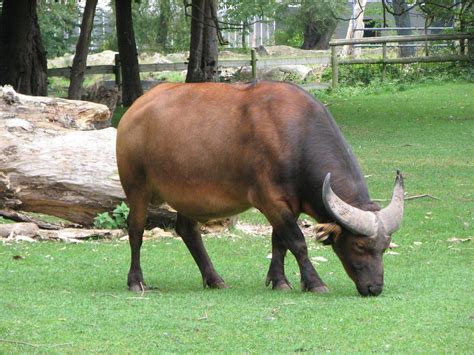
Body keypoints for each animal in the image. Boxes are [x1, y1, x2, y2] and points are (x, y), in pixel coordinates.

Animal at [117, 81, 404, 298]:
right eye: (359, 246)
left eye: (384, 247)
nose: (375, 288)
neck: (295, 137)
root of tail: (135, 110)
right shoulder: (271, 201)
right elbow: (297, 242)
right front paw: (314, 282)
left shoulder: (289, 204)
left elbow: (279, 241)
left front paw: (279, 280)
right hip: (137, 189)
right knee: (136, 230)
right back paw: (136, 280)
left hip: (187, 194)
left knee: (188, 231)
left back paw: (214, 278)